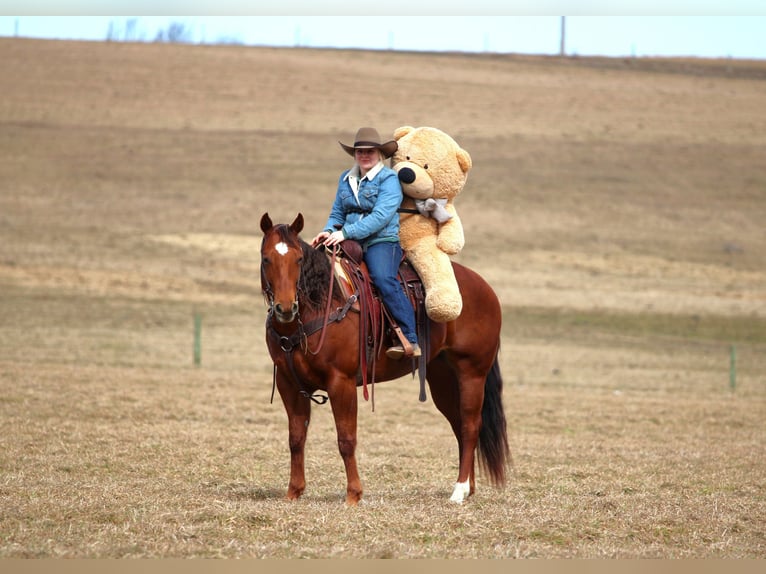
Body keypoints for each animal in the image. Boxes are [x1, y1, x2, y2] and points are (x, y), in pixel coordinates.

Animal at [259, 212, 509, 504]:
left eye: (298, 259)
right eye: (266, 259)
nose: (285, 308)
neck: (323, 305)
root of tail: (485, 288)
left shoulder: (341, 382)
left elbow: (346, 439)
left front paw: (353, 495)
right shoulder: (289, 384)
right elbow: (296, 438)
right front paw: (294, 492)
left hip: (472, 373)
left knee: (470, 426)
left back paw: (458, 491)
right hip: (444, 379)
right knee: (459, 426)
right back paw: (468, 487)